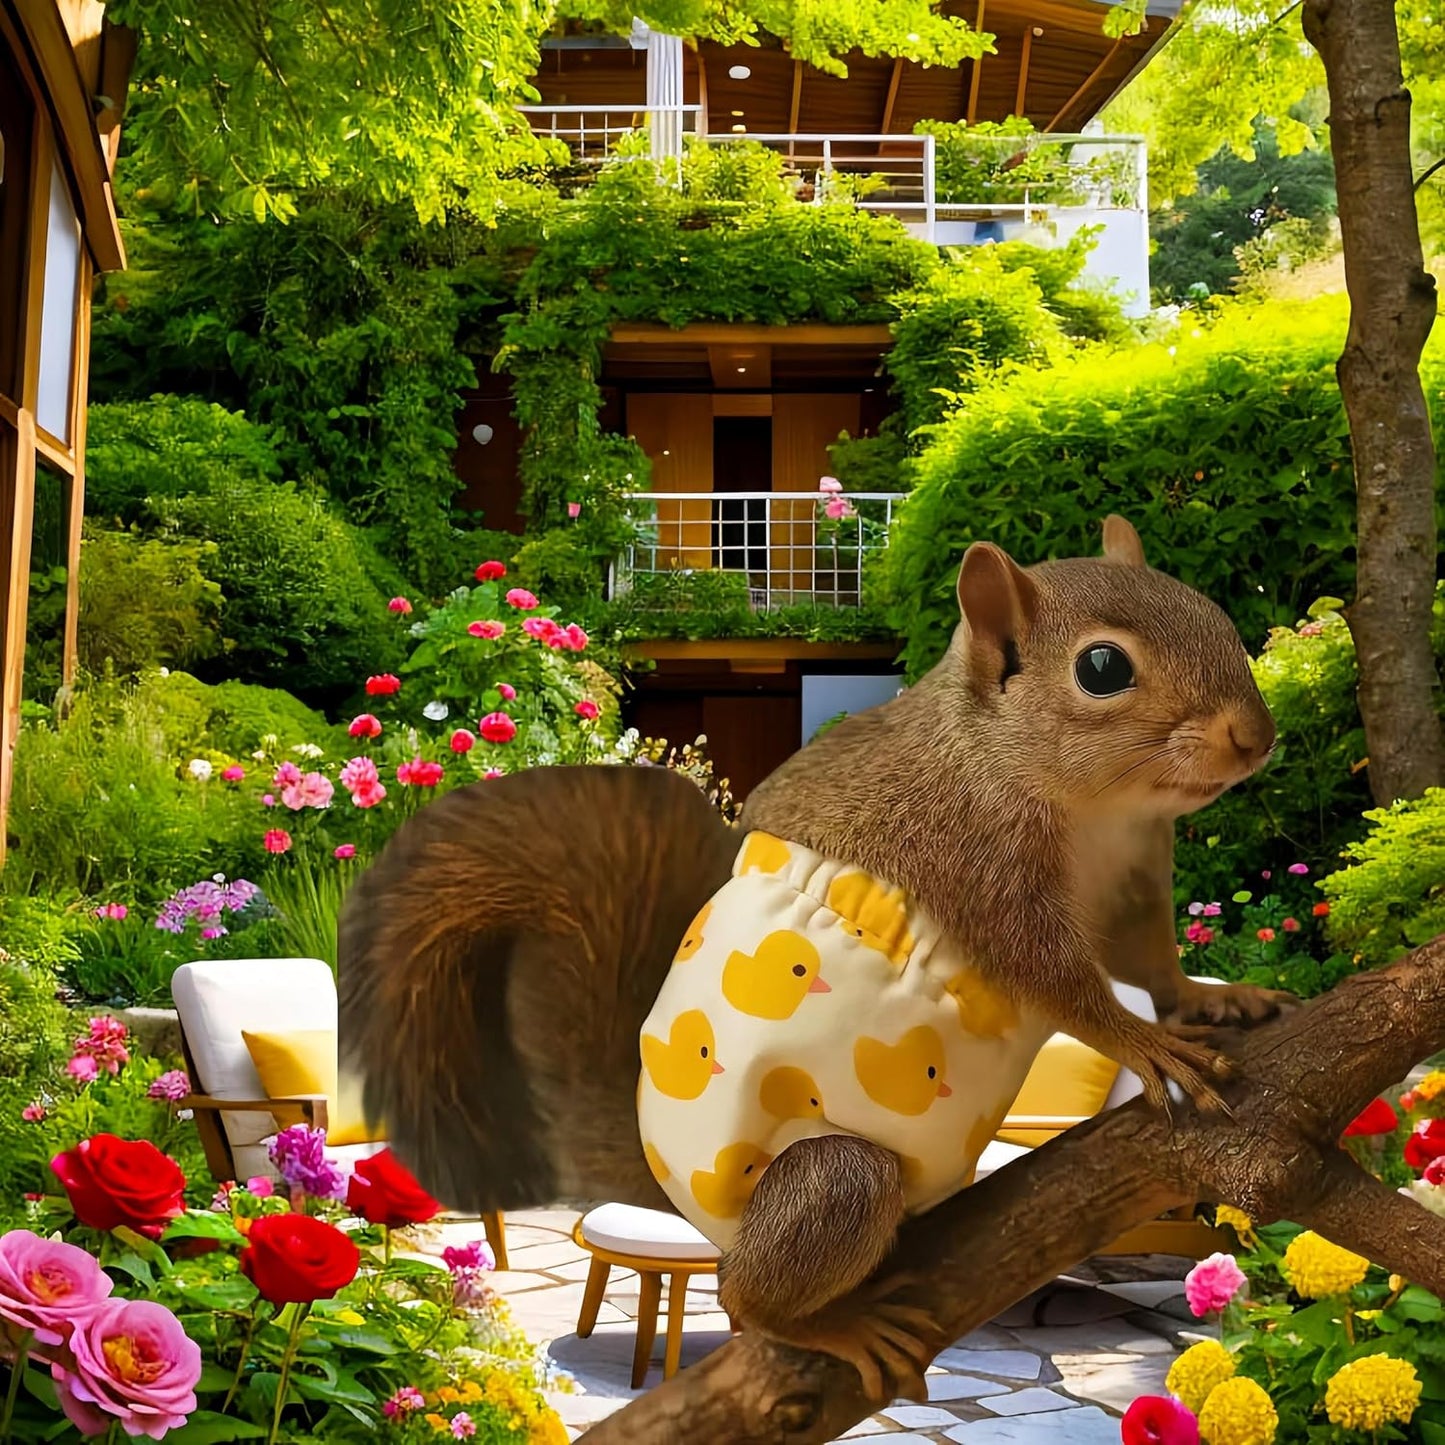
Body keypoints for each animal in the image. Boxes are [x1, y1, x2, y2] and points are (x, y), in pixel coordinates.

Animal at [338, 515, 1286, 1400]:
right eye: (1101, 667)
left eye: (1211, 609)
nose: (1254, 736)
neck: (1095, 811)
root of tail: (672, 1190)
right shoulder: (976, 868)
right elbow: (1061, 986)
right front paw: (1148, 1044)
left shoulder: (1133, 879)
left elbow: (1151, 963)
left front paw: (1212, 997)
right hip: (835, 1176)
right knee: (741, 1290)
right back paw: (830, 1324)